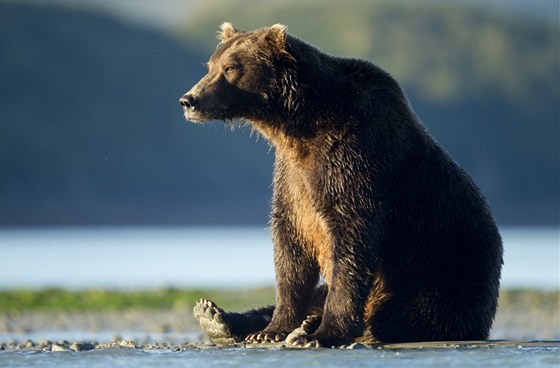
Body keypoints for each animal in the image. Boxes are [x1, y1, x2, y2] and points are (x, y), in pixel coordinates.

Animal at [179, 23, 504, 348]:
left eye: (231, 67)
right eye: (211, 65)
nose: (189, 100)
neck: (298, 126)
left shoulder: (354, 156)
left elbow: (350, 239)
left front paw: (323, 333)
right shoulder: (291, 177)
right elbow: (290, 249)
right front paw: (272, 329)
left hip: (447, 271)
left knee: (412, 311)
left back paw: (316, 326)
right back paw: (216, 316)